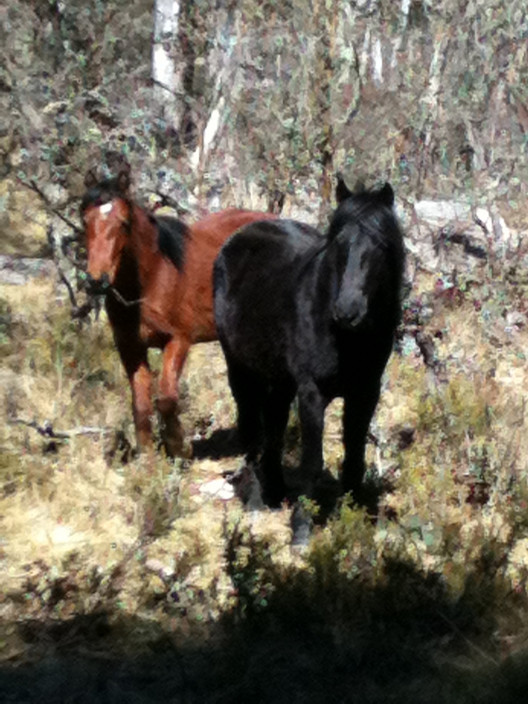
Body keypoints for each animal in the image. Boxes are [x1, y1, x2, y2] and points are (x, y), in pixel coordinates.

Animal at [81, 168, 276, 460]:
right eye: (85, 220)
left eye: (124, 222)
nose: (96, 280)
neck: (153, 276)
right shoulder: (130, 347)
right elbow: (141, 404)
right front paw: (148, 459)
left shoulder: (178, 340)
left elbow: (166, 400)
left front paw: (179, 448)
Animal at [213, 179, 404, 540]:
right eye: (339, 242)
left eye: (380, 244)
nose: (347, 310)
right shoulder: (312, 392)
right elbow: (312, 462)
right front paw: (302, 528)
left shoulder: (365, 393)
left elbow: (354, 457)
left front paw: (354, 521)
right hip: (240, 366)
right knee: (251, 425)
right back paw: (256, 495)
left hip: (280, 379)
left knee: (273, 425)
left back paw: (275, 491)